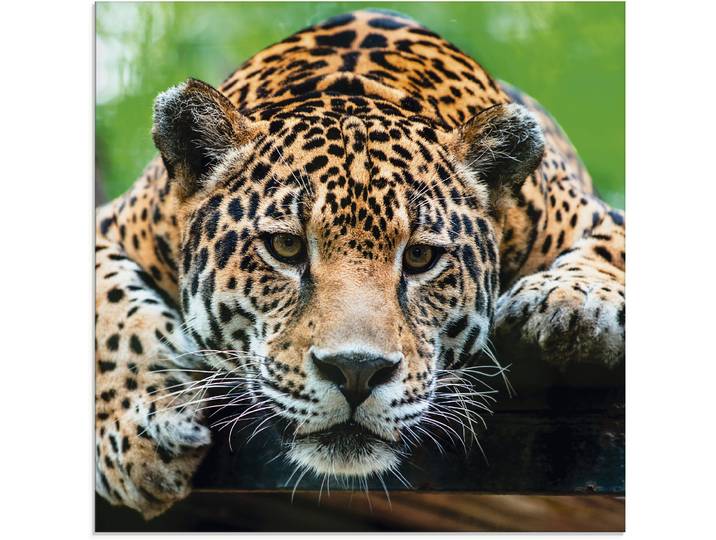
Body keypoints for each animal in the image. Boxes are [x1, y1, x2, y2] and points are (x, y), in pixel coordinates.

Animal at [95, 10, 625, 518]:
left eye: (420, 257)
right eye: (285, 247)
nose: (356, 372)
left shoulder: (598, 216)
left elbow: (608, 251)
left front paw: (569, 302)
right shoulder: (110, 225)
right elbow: (112, 308)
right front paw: (142, 432)